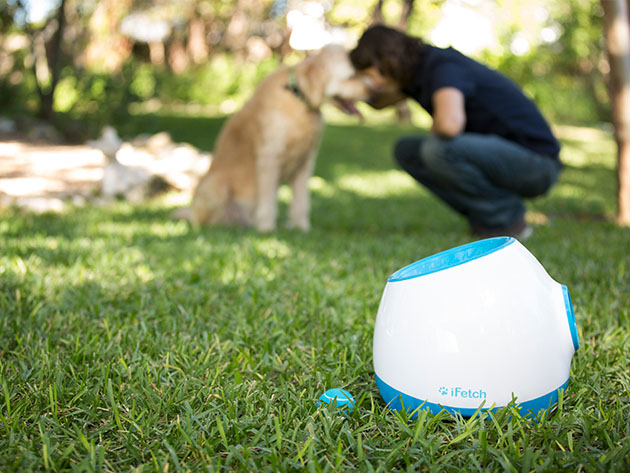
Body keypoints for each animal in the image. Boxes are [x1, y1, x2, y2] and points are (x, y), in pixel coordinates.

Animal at [190, 43, 372, 231]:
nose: (373, 92)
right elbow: (268, 200)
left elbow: (301, 201)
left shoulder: (305, 162)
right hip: (215, 185)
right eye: (352, 76)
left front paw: (302, 227)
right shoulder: (269, 159)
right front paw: (267, 228)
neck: (298, 100)